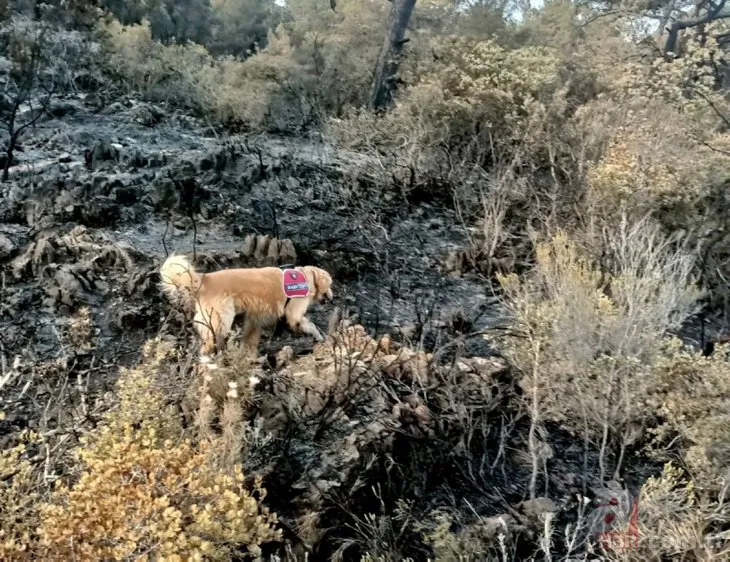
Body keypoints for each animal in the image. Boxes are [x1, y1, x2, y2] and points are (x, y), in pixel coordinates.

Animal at [159, 254, 332, 354]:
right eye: (330, 284)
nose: (331, 297)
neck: (307, 277)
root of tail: (204, 279)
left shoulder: (253, 318)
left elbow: (250, 338)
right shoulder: (294, 314)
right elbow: (310, 325)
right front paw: (319, 336)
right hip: (221, 320)